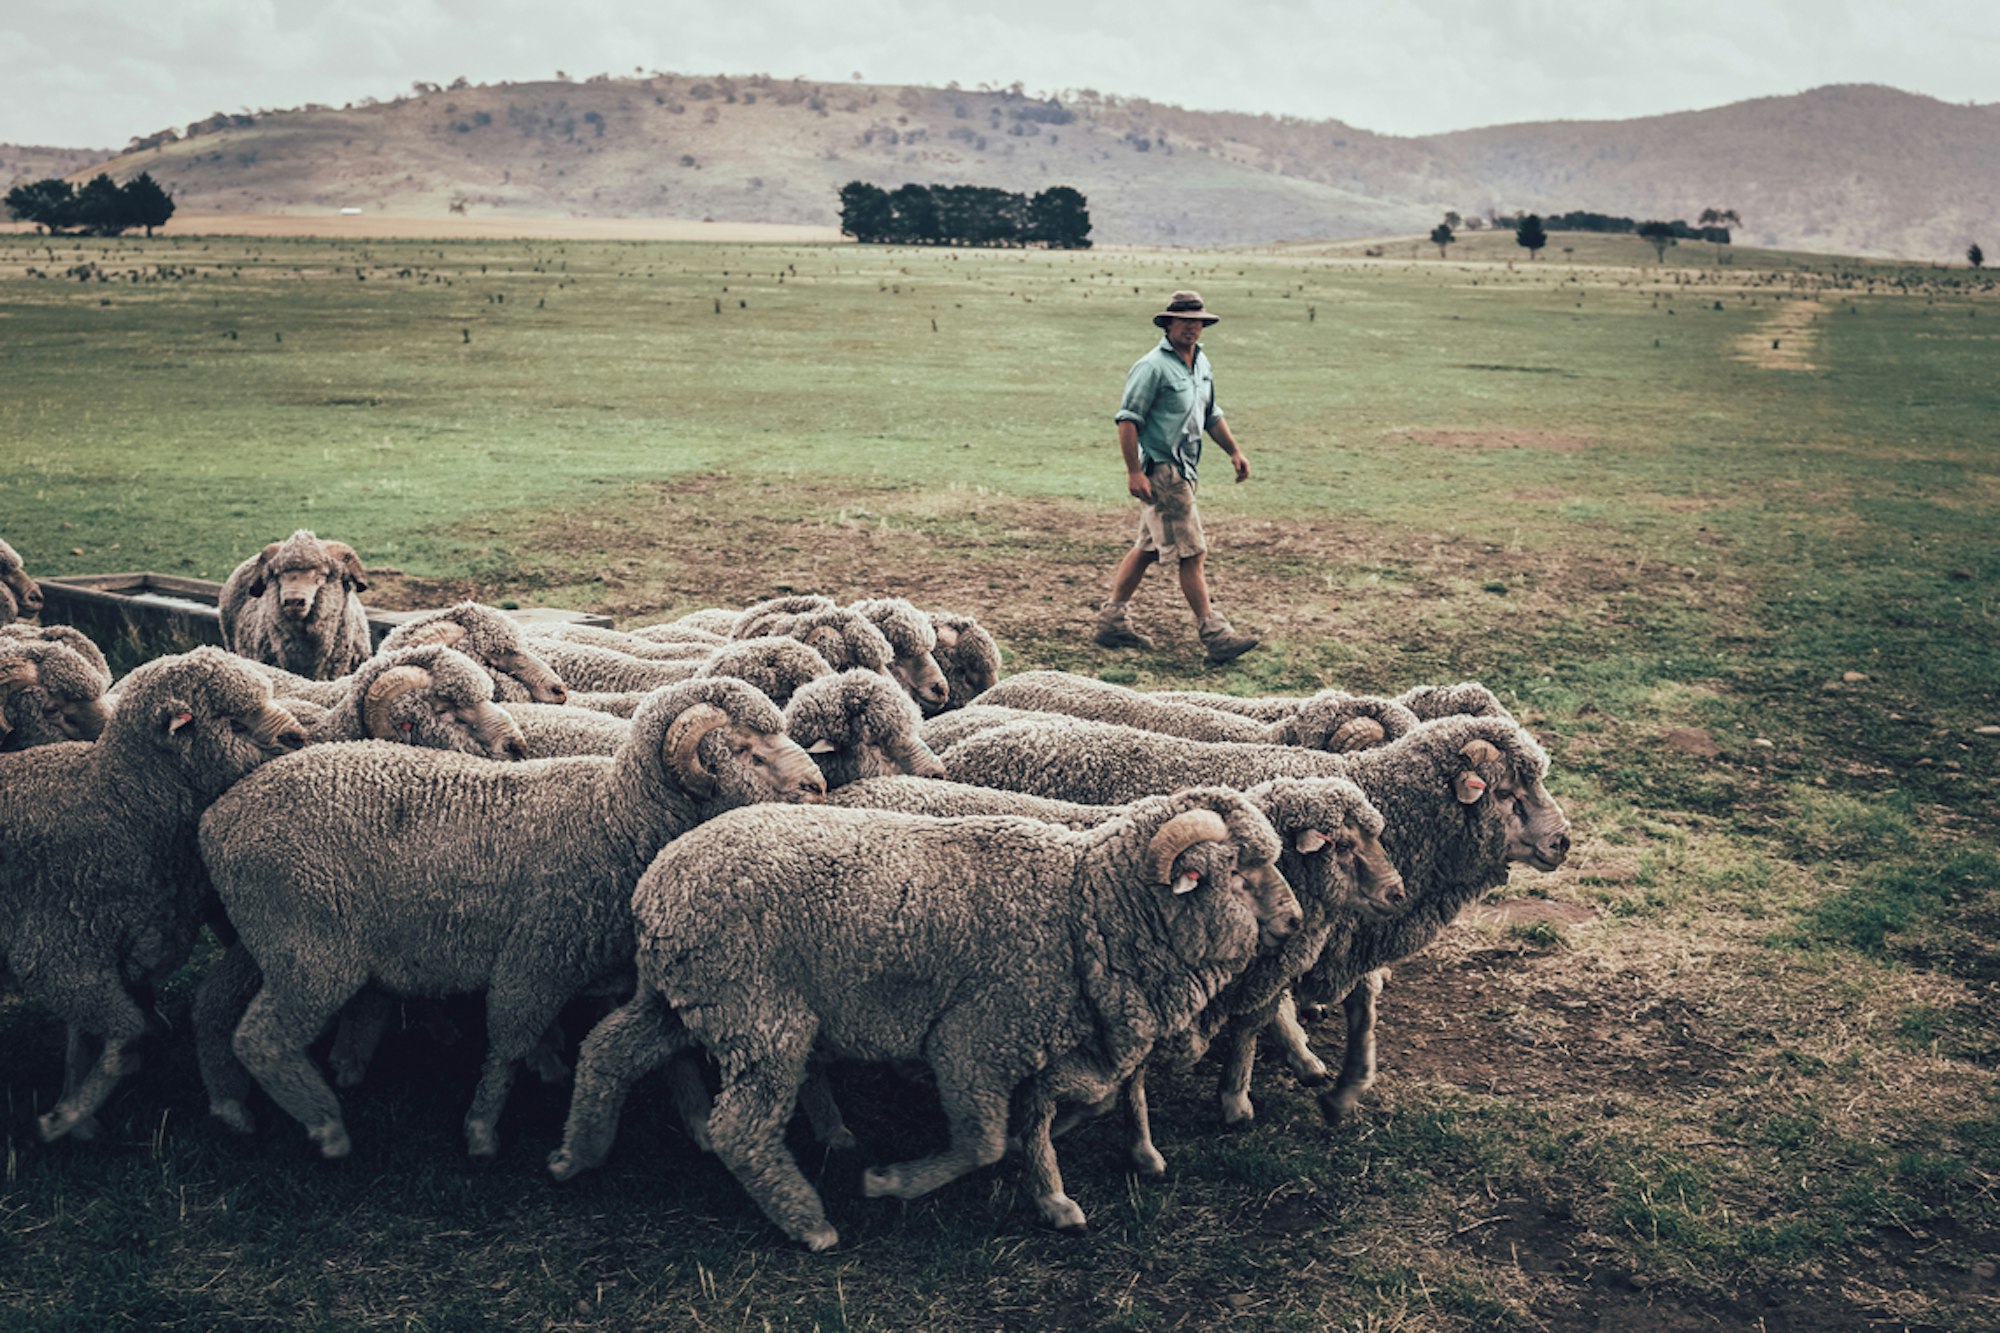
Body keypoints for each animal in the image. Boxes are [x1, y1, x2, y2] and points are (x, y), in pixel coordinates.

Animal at [0, 647, 307, 1142]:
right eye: (233, 722)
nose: (299, 737)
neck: (116, 804)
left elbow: (91, 1035)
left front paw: (74, 1104)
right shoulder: (58, 953)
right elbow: (122, 1032)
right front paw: (70, 1116)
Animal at [194, 677, 827, 1158]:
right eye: (748, 751)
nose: (818, 786)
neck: (616, 820)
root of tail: (218, 818)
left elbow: (670, 1059)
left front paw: (697, 1121)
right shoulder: (538, 954)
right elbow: (508, 1041)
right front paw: (481, 1130)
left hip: (273, 937)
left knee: (218, 1004)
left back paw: (228, 1105)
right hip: (314, 950)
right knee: (262, 1037)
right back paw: (325, 1125)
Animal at [547, 788, 1299, 1250]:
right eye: (1239, 872)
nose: (1293, 922)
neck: (1083, 908)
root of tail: (658, 884)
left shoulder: (1037, 1040)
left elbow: (1049, 1119)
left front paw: (1052, 1196)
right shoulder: (974, 1040)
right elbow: (982, 1143)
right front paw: (891, 1183)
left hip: (682, 999)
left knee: (606, 1050)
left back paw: (575, 1154)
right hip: (758, 1014)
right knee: (742, 1128)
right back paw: (809, 1222)